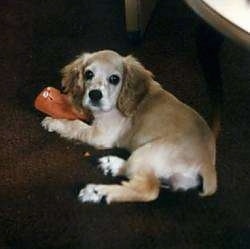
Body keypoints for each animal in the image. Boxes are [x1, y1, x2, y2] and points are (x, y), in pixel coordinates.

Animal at [42, 49, 218, 203]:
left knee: (148, 189)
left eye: (114, 79)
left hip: (146, 152)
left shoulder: (101, 134)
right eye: (88, 74)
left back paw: (97, 192)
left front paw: (53, 121)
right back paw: (112, 165)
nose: (94, 95)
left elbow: (76, 126)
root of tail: (207, 163)